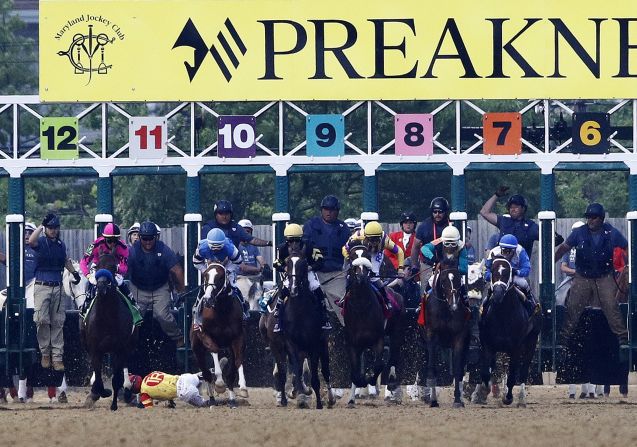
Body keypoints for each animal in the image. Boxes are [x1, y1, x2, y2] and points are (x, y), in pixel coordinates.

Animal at [80, 254, 138, 412]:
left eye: (113, 267)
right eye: (97, 266)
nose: (101, 286)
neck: (107, 317)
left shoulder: (120, 348)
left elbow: (116, 379)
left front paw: (114, 404)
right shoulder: (95, 349)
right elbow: (99, 378)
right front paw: (101, 392)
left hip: (128, 346)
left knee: (123, 369)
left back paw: (127, 392)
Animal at [189, 262, 246, 410]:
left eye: (220, 277)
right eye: (205, 275)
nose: (208, 299)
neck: (221, 311)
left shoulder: (238, 338)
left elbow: (238, 361)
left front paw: (243, 388)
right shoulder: (204, 334)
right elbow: (214, 350)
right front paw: (219, 384)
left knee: (229, 374)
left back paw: (231, 400)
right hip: (197, 348)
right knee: (207, 374)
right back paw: (212, 399)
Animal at [342, 247, 402, 408]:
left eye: (368, 256)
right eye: (352, 257)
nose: (361, 277)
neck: (361, 307)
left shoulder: (379, 339)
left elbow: (379, 365)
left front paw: (369, 380)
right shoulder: (352, 343)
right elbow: (355, 372)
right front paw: (357, 390)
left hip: (395, 334)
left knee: (393, 358)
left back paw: (392, 386)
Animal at [422, 268, 468, 408]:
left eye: (459, 280)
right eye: (443, 282)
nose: (454, 305)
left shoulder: (459, 337)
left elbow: (458, 370)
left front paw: (457, 400)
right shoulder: (431, 335)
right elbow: (432, 368)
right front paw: (433, 400)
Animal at [470, 258, 540, 408]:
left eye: (508, 272)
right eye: (493, 271)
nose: (497, 293)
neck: (503, 314)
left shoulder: (516, 347)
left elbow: (513, 375)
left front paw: (508, 397)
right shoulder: (487, 344)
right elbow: (486, 373)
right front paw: (481, 392)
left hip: (531, 342)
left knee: (523, 370)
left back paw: (521, 399)